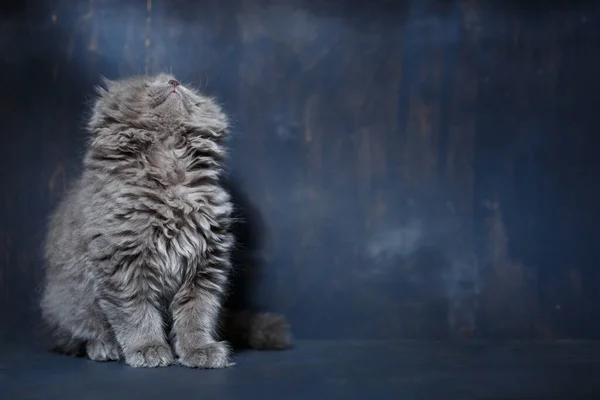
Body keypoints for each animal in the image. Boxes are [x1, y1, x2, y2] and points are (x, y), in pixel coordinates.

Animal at [39, 74, 290, 368]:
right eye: (149, 85)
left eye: (185, 86)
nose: (173, 82)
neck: (171, 169)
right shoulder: (122, 264)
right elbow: (135, 313)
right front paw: (147, 347)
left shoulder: (206, 266)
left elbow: (196, 313)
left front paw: (198, 349)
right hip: (67, 302)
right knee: (75, 335)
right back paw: (102, 347)